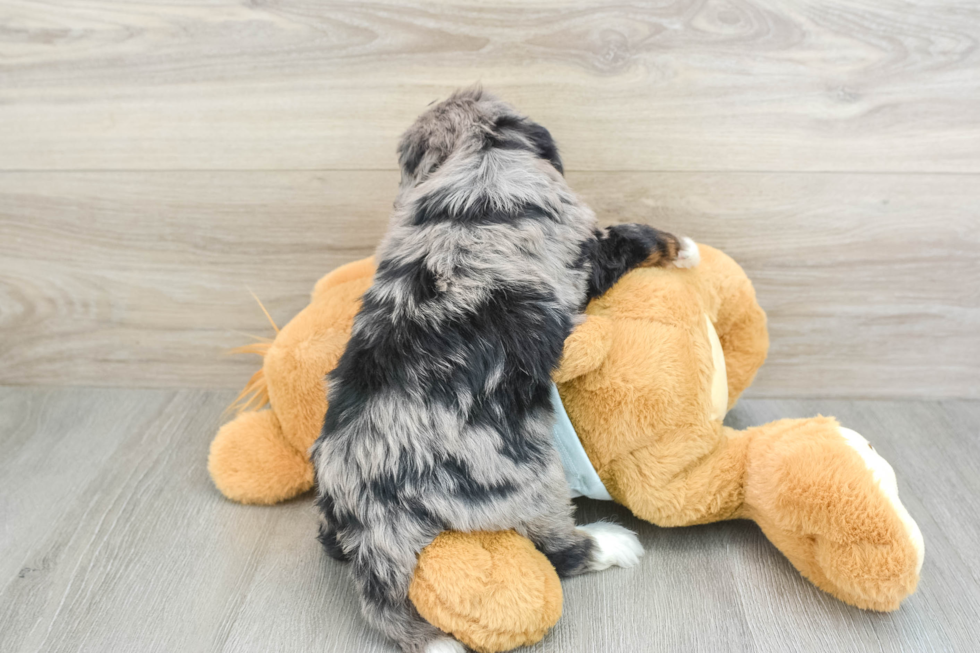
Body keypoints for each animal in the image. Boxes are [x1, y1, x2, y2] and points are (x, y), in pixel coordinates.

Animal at [312, 88, 696, 652]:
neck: (479, 152)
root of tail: (368, 517)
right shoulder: (585, 246)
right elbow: (632, 236)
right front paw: (684, 247)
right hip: (531, 475)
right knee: (555, 545)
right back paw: (609, 543)